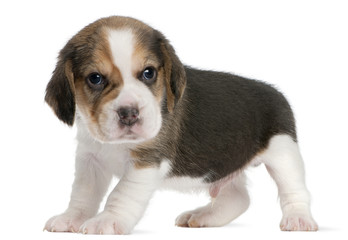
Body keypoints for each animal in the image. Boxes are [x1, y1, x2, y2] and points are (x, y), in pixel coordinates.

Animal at [44, 16, 318, 234]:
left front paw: (107, 221)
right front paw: (71, 218)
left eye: (148, 73)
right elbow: (83, 193)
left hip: (284, 153)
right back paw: (203, 216)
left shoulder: (146, 162)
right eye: (95, 79)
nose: (129, 114)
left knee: (295, 190)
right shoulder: (90, 158)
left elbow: (121, 194)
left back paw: (299, 219)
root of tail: (277, 92)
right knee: (238, 197)